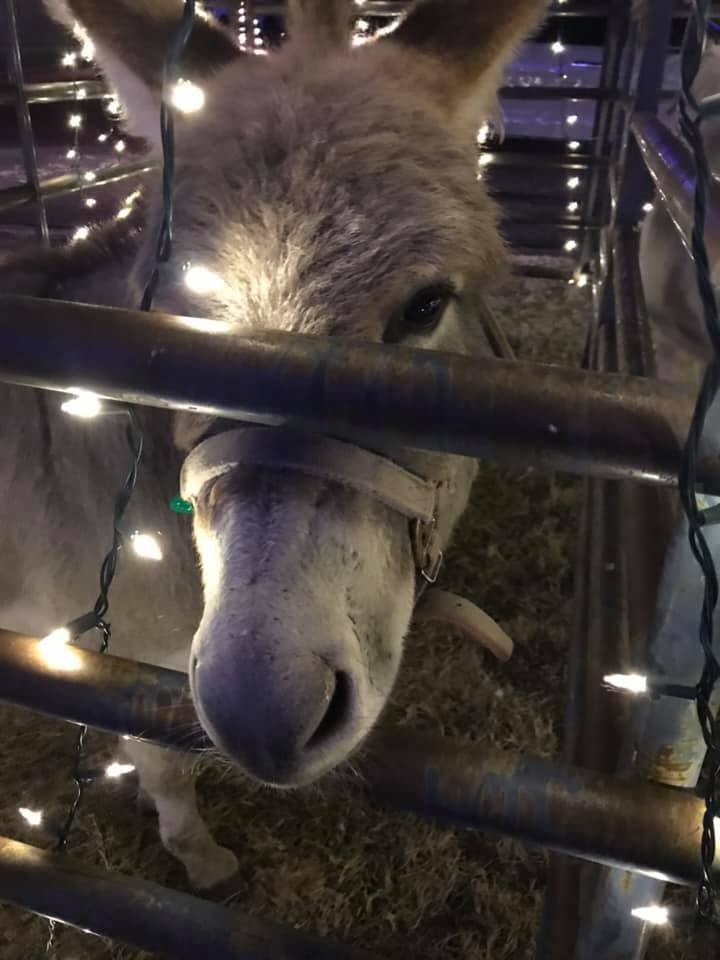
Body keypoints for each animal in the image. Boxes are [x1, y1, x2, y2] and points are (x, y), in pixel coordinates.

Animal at [0, 0, 548, 892]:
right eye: (169, 323)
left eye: (426, 306)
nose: (262, 715)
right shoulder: (117, 653)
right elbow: (163, 766)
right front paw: (199, 855)